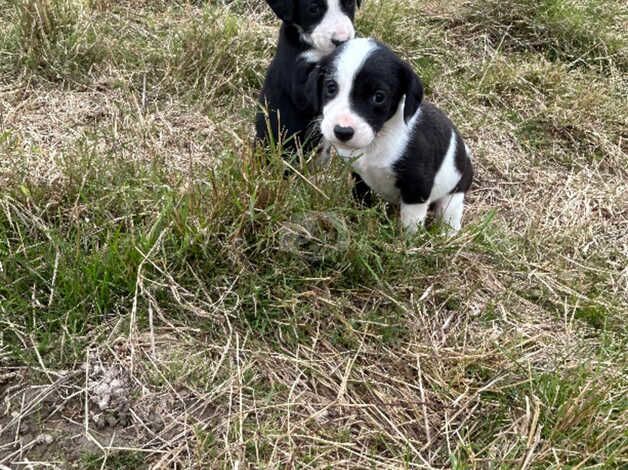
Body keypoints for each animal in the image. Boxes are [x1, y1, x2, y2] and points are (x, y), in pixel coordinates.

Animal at [316, 38, 474, 235]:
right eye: (331, 87)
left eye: (379, 97)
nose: (342, 131)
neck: (379, 138)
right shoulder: (359, 177)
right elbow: (361, 199)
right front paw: (358, 220)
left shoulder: (417, 189)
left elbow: (411, 225)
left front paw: (406, 240)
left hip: (453, 195)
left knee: (450, 215)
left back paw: (447, 234)